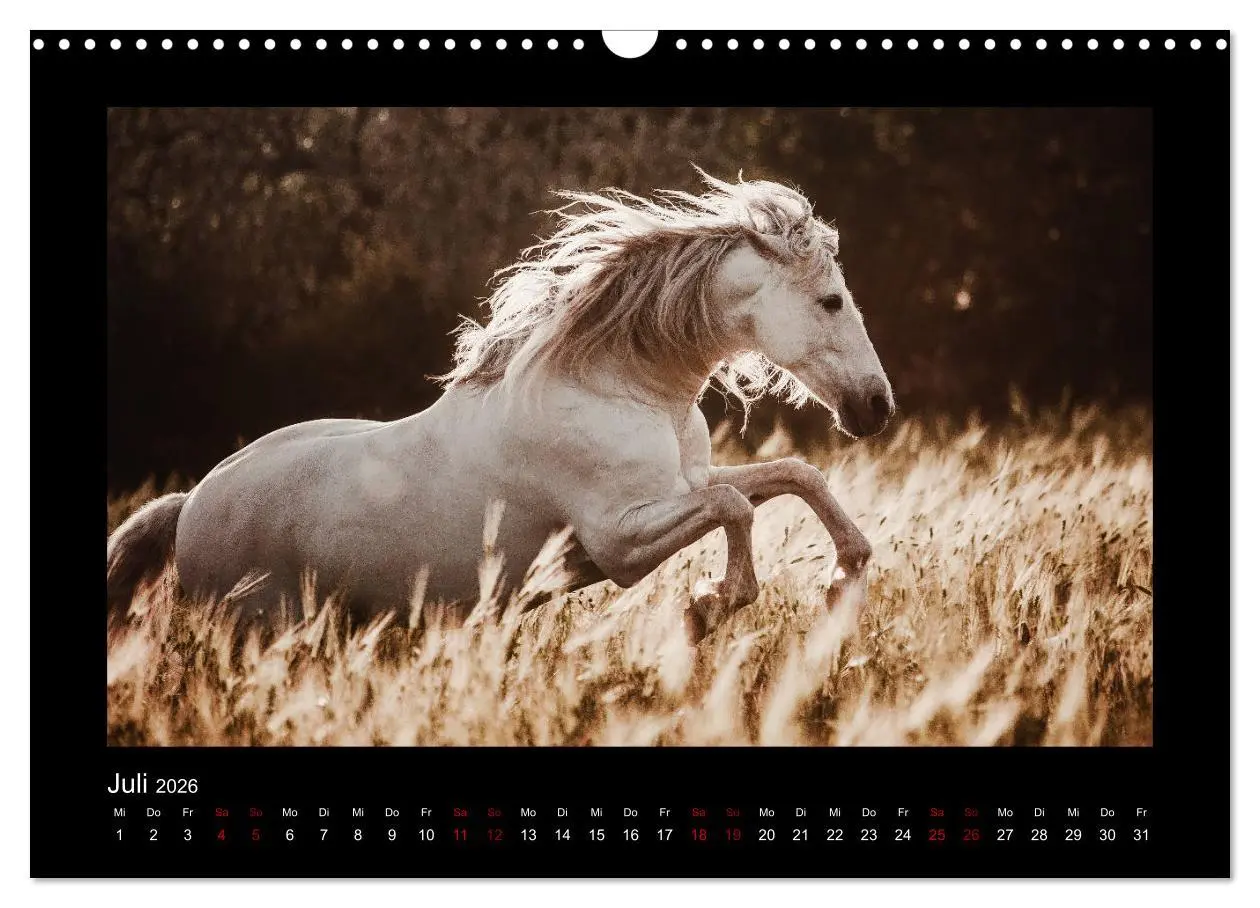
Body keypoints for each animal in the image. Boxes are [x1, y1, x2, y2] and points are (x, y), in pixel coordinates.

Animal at [107, 171, 894, 642]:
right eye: (832, 300)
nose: (876, 407)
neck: (615, 389)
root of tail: (189, 506)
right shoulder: (617, 540)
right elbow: (737, 509)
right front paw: (711, 602)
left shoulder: (681, 486)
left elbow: (792, 477)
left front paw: (843, 577)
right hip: (262, 632)